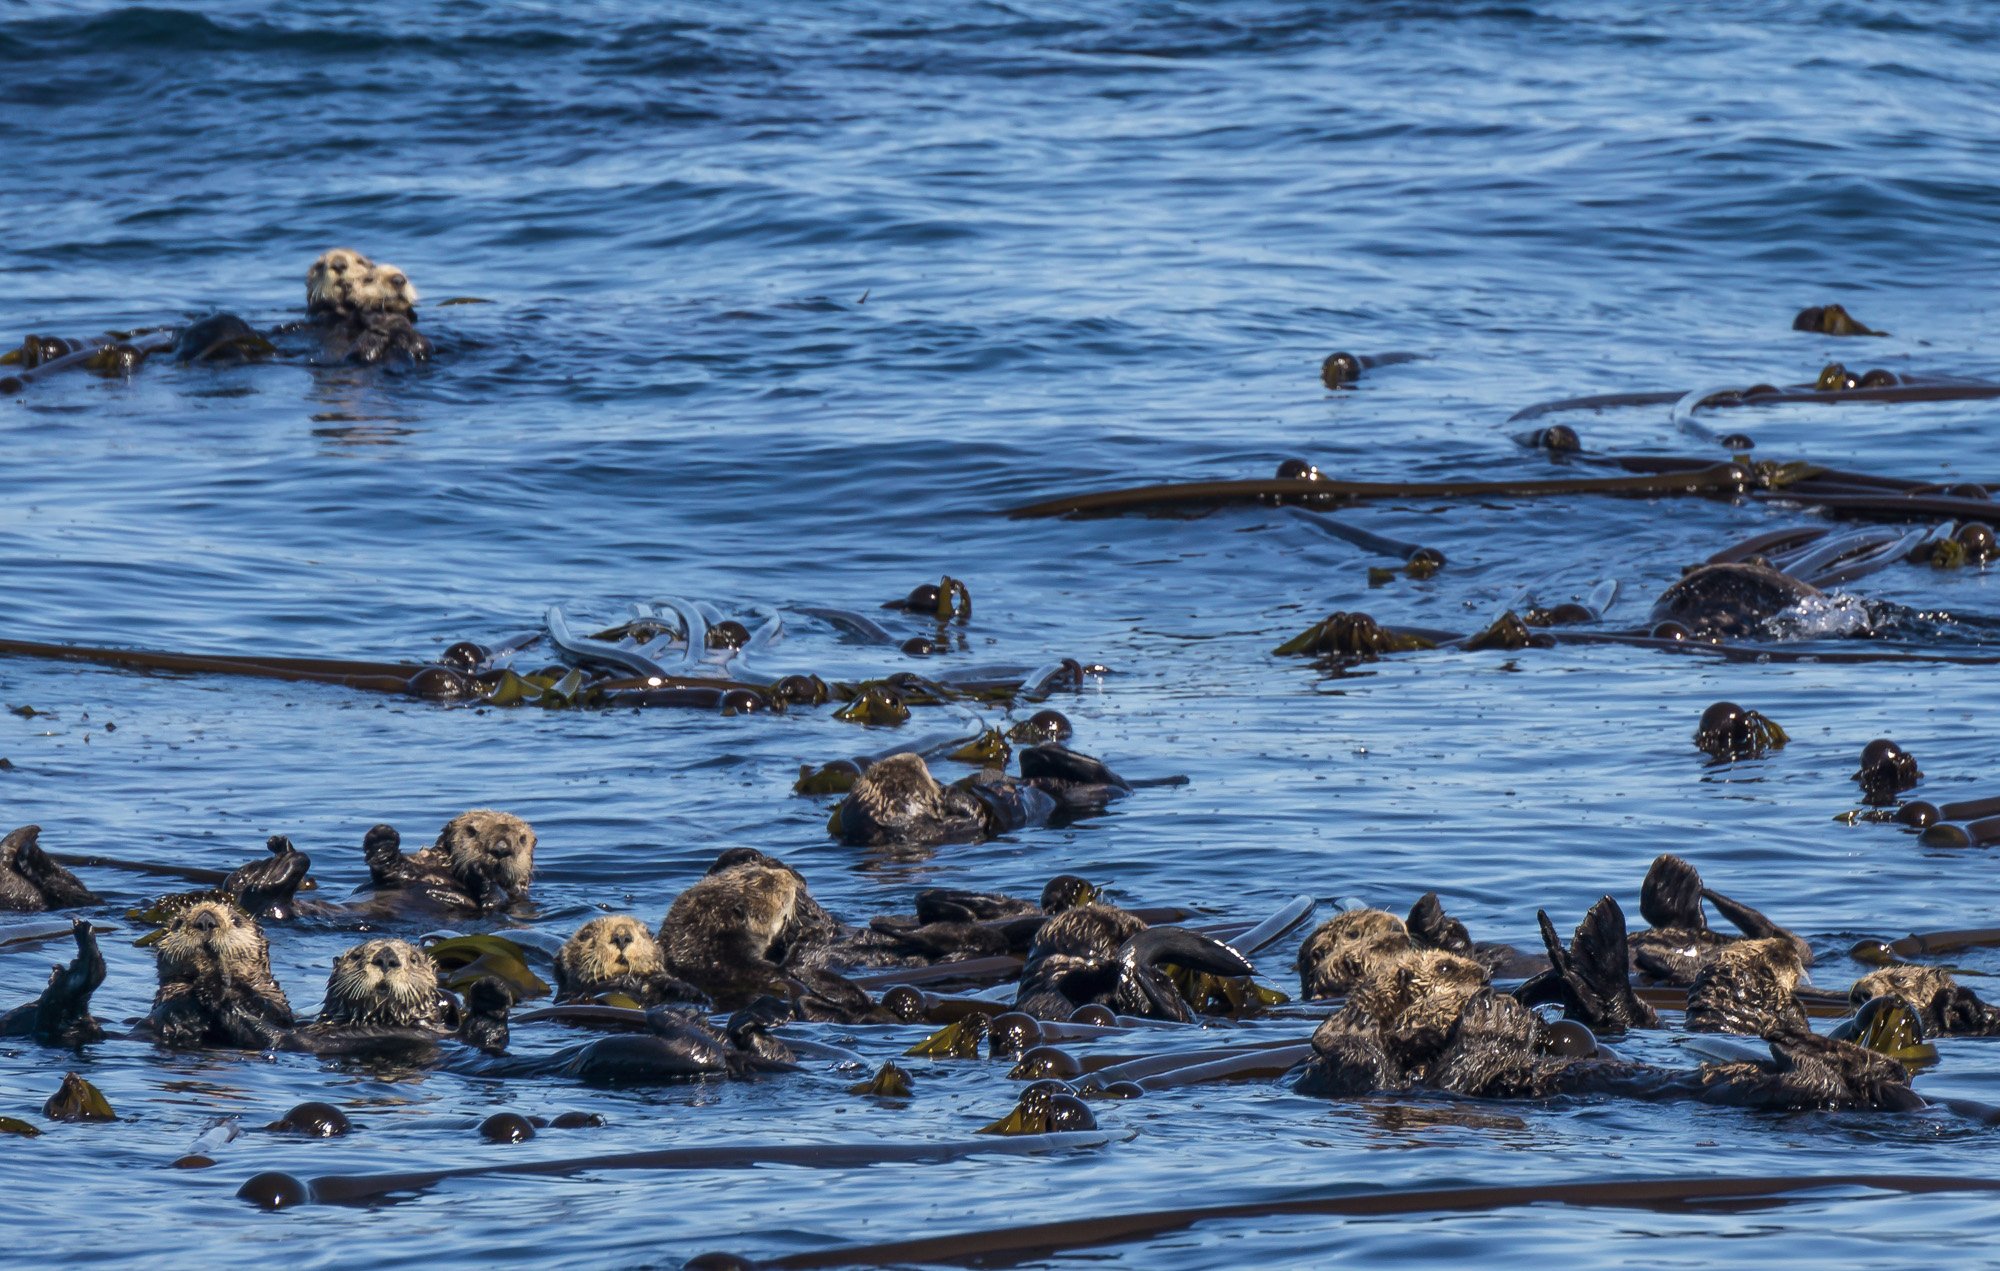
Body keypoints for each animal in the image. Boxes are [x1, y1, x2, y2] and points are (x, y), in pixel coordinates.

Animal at [352, 811, 535, 914]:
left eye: (522, 839)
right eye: (471, 831)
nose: (501, 849)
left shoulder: (513, 898)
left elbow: (494, 901)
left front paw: (482, 873)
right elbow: (390, 869)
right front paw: (382, 835)